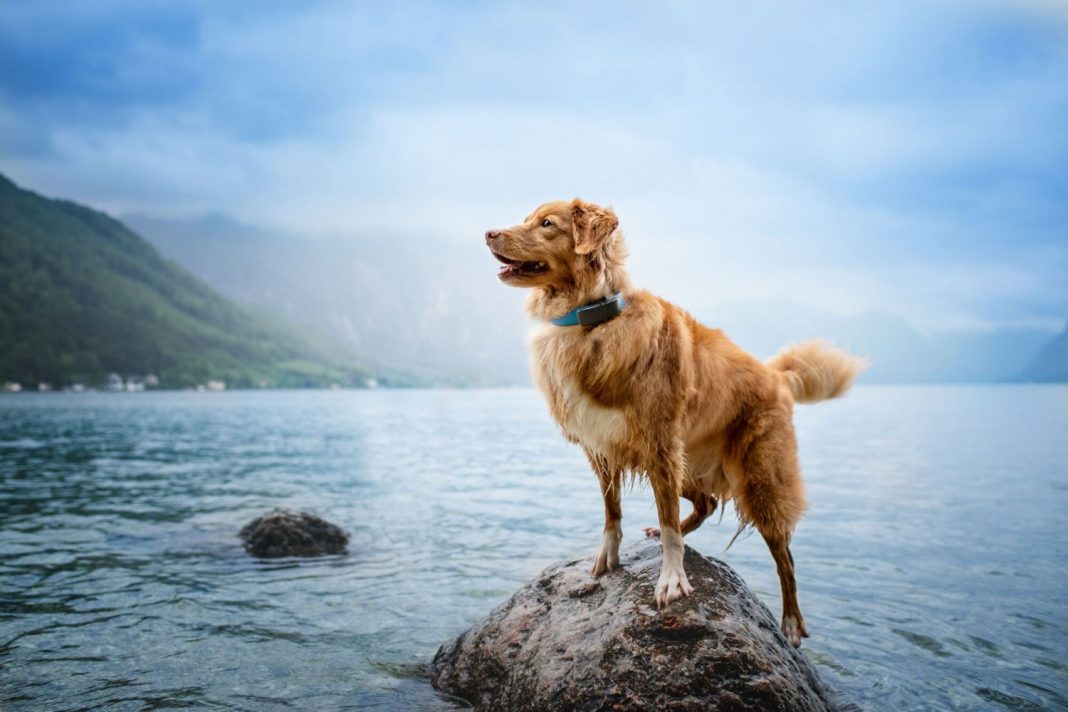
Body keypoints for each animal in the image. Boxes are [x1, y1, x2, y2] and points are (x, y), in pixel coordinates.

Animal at [487, 196, 867, 644]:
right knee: (706, 503)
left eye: (546, 224)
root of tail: (775, 374)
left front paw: (672, 580)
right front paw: (608, 556)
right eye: (527, 219)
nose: (489, 233)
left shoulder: (660, 442)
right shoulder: (604, 448)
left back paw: (791, 621)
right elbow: (612, 510)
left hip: (757, 480)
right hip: (686, 465)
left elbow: (666, 520)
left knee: (784, 556)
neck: (593, 319)